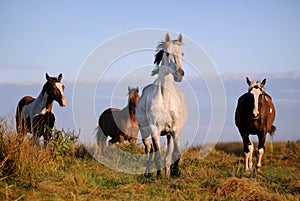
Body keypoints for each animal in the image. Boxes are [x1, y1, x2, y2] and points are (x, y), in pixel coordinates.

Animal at [136, 33, 188, 178]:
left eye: (182, 53)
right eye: (168, 53)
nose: (179, 74)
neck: (165, 99)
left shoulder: (175, 129)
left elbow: (175, 153)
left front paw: (175, 173)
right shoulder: (155, 129)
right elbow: (157, 155)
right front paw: (159, 177)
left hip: (169, 134)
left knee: (167, 156)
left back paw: (167, 173)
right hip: (145, 132)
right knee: (149, 150)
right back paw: (148, 174)